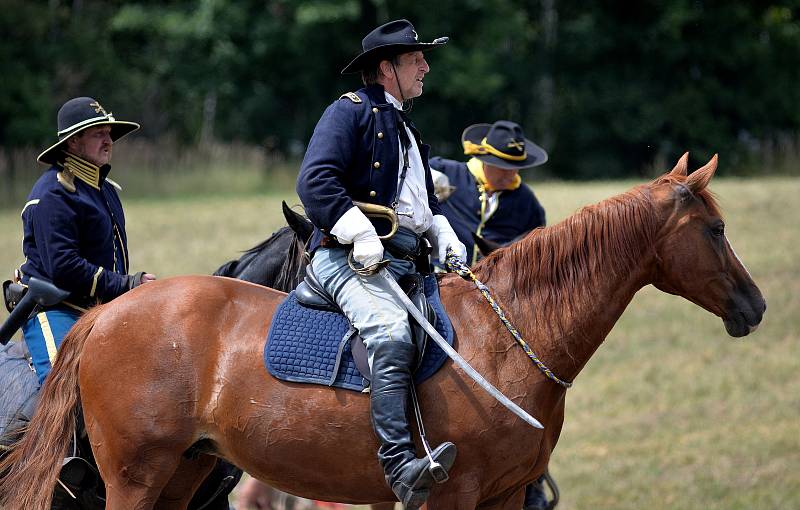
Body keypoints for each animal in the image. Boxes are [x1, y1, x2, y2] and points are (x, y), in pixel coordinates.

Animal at [0, 155, 764, 510]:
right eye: (716, 229)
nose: (754, 305)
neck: (512, 336)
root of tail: (105, 315)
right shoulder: (453, 495)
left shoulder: (506, 495)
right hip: (135, 474)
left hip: (183, 472)